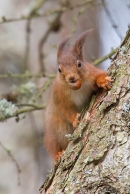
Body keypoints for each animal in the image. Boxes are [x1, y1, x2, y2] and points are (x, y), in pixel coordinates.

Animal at [44, 29, 111, 161]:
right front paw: (75, 119)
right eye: (59, 70)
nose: (71, 78)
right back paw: (58, 154)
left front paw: (103, 81)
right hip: (54, 126)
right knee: (54, 146)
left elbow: (99, 76)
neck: (77, 87)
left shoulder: (92, 73)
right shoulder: (59, 95)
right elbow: (65, 109)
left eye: (79, 64)